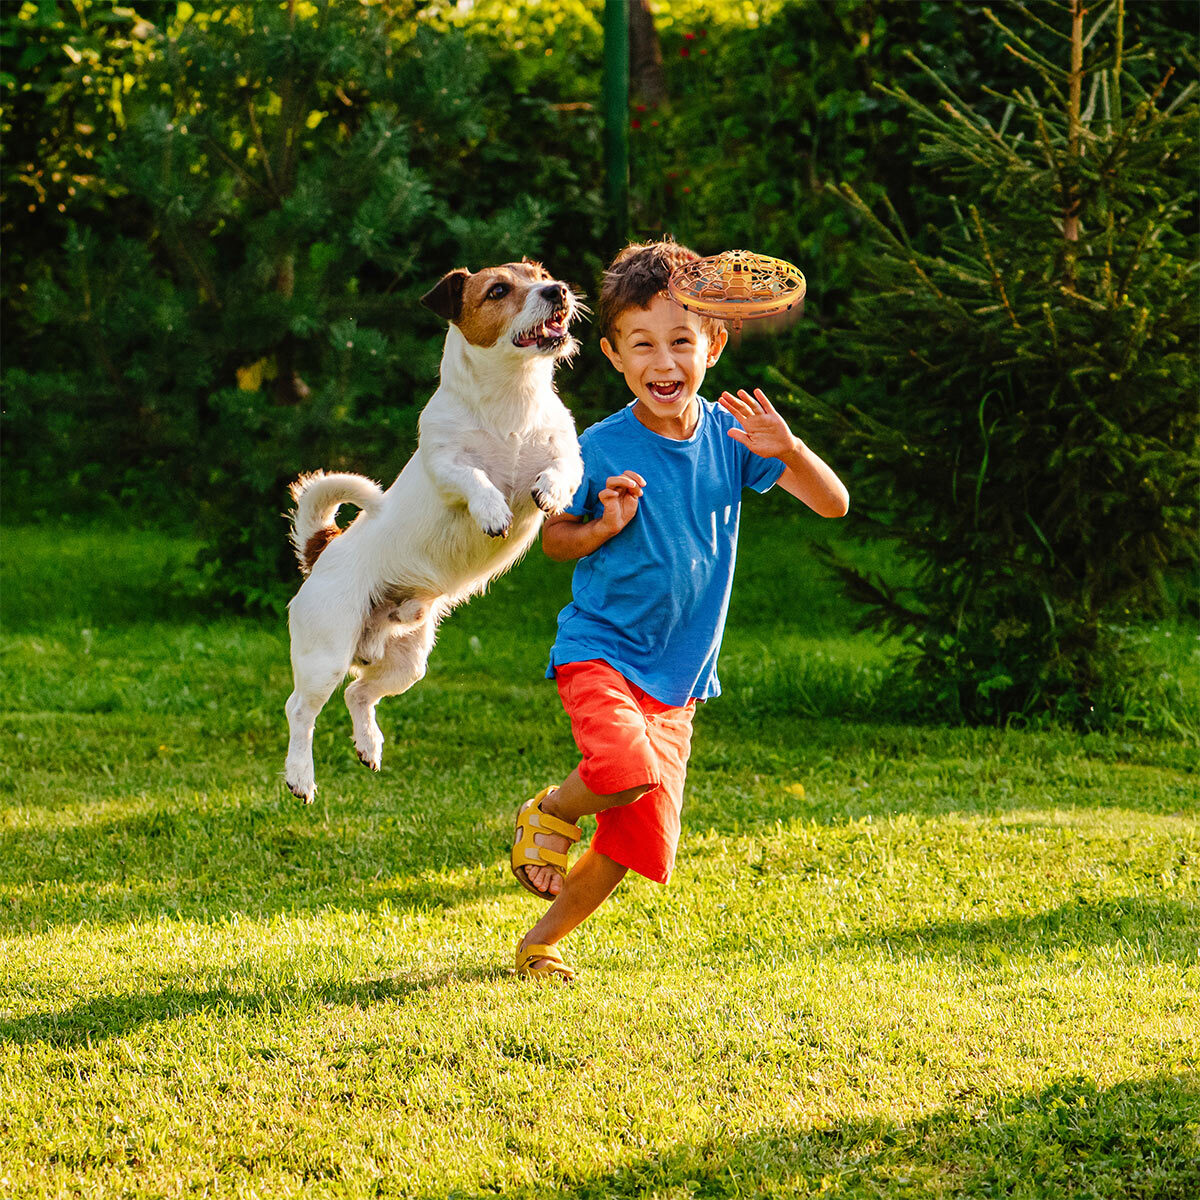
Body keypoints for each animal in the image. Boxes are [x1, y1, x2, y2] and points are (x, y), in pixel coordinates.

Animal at [280, 266, 580, 801]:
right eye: (498, 290)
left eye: (540, 275)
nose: (558, 290)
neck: (512, 400)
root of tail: (324, 549)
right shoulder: (446, 466)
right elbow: (474, 478)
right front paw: (491, 509)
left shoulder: (567, 454)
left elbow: (562, 470)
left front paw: (547, 489)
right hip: (325, 654)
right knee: (301, 711)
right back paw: (300, 776)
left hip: (407, 662)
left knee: (359, 693)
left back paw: (369, 746)